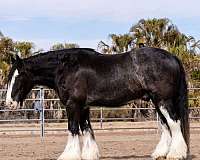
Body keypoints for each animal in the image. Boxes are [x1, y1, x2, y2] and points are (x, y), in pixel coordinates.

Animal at [5, 47, 189, 160]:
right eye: (9, 77)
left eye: (19, 76)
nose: (9, 103)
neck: (65, 68)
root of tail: (173, 57)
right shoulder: (83, 106)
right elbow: (86, 129)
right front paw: (89, 154)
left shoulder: (73, 105)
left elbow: (73, 128)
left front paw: (69, 155)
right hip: (156, 101)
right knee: (166, 124)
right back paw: (160, 153)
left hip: (163, 100)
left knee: (174, 122)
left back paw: (176, 154)